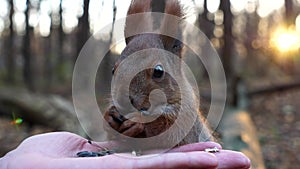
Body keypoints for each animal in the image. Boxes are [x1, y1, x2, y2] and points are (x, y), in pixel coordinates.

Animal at [103, 0, 213, 151]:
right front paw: (109, 116)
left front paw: (138, 122)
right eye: (113, 70)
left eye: (158, 71)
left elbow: (167, 131)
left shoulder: (185, 118)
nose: (122, 101)